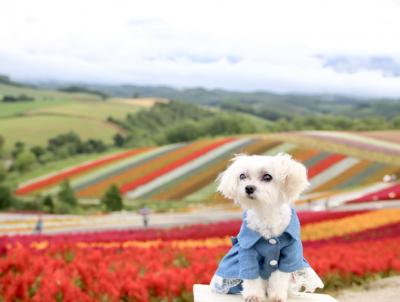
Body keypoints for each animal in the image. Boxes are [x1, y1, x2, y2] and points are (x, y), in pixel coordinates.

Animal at [211, 153, 324, 302]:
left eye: (267, 177)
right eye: (242, 176)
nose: (248, 188)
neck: (265, 213)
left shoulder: (289, 253)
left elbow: (279, 277)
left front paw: (277, 296)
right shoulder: (248, 252)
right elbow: (251, 277)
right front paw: (253, 295)